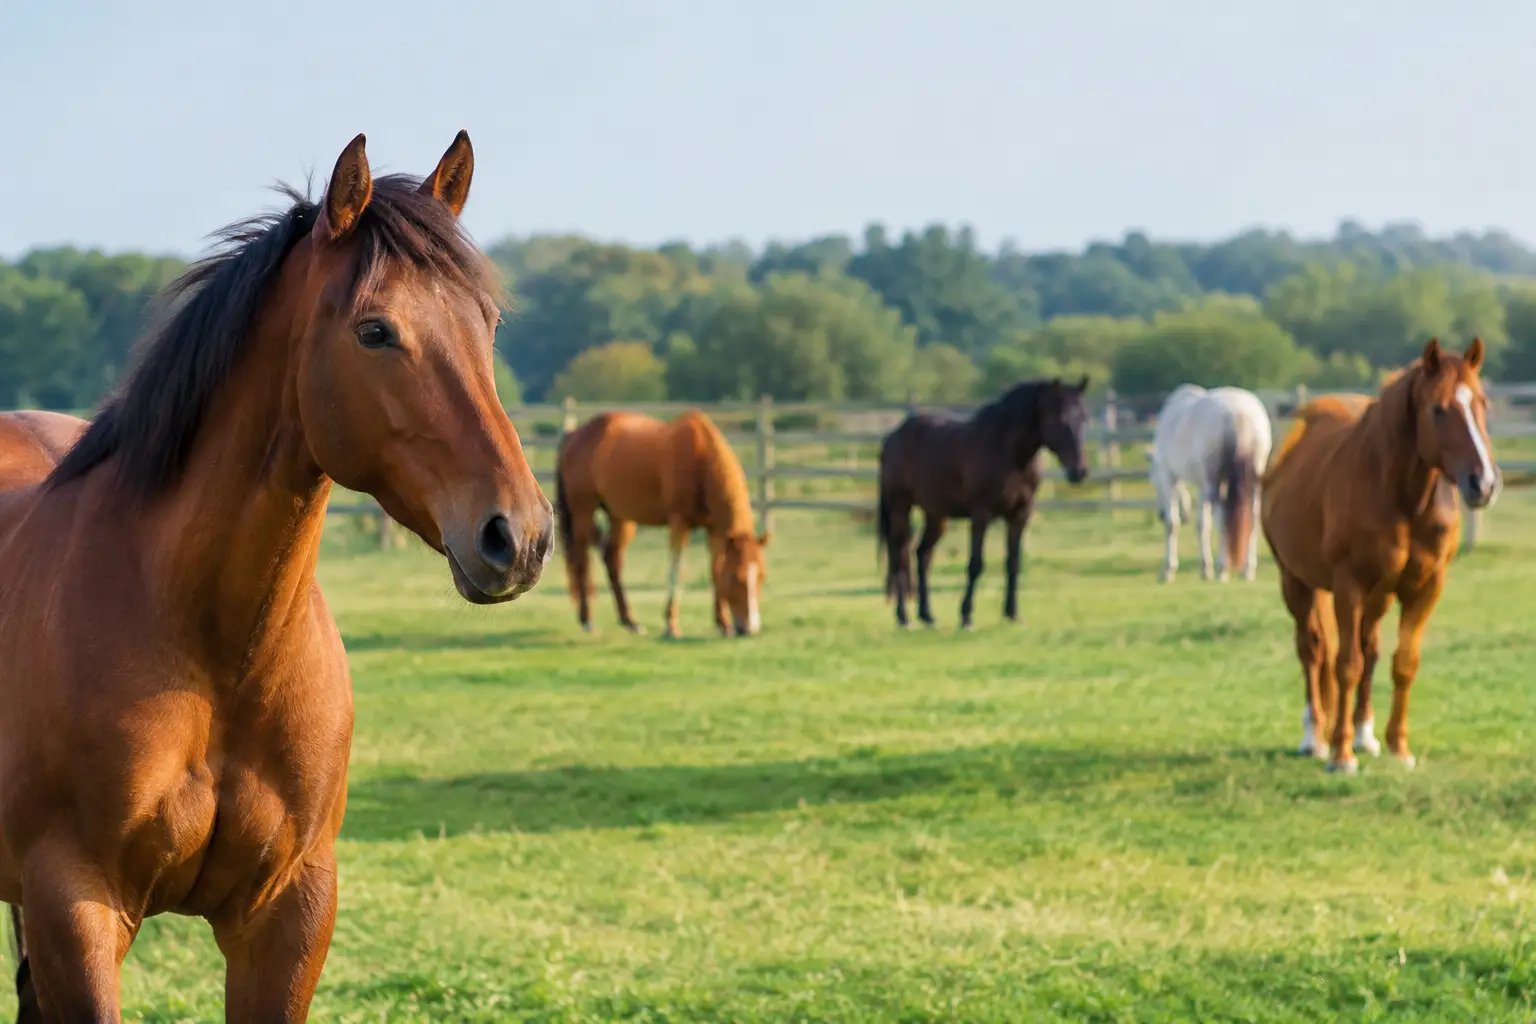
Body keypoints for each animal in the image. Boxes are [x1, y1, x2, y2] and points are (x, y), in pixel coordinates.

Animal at [0, 131, 553, 1021]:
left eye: (487, 323)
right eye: (374, 331)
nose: (520, 535)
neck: (212, 643)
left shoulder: (289, 910)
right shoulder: (76, 906)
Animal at [555, 409, 768, 638]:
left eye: (761, 576)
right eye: (737, 577)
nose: (750, 628)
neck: (700, 459)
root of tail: (573, 435)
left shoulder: (714, 530)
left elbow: (715, 570)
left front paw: (723, 623)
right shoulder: (679, 523)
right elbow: (676, 571)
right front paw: (671, 624)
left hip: (619, 516)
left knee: (611, 559)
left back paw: (630, 621)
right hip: (583, 510)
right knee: (581, 560)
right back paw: (588, 620)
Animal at [877, 377, 1091, 630]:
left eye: (1084, 418)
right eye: (1061, 419)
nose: (1080, 471)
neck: (1007, 452)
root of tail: (893, 437)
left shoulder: (1020, 515)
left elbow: (1013, 563)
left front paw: (1012, 614)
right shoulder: (981, 515)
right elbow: (976, 564)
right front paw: (966, 616)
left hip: (936, 514)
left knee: (922, 554)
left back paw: (927, 615)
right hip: (900, 507)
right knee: (899, 556)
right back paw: (903, 617)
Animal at [1146, 384, 1273, 584]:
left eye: (1151, 479)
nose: (1159, 514)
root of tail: (1237, 413)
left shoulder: (1169, 478)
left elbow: (1173, 524)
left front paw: (1168, 570)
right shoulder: (1202, 487)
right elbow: (1202, 525)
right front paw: (1205, 568)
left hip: (1217, 482)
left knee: (1222, 520)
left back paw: (1223, 567)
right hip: (1253, 480)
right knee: (1253, 518)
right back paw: (1247, 569)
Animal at [1261, 337, 1499, 773]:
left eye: (1483, 403)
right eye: (1438, 409)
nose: (1484, 483)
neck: (1400, 496)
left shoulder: (1425, 587)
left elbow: (1402, 663)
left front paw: (1397, 747)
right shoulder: (1347, 586)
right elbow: (1346, 665)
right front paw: (1341, 755)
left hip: (1378, 596)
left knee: (1368, 650)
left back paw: (1365, 736)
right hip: (1296, 582)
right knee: (1313, 650)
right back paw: (1315, 738)